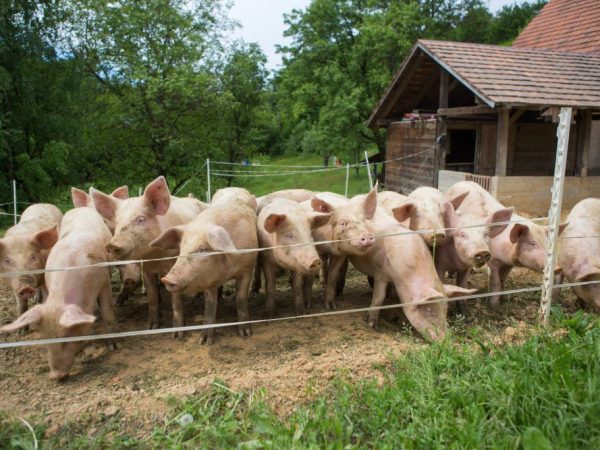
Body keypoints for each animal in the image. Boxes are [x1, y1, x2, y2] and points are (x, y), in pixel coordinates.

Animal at [0, 207, 119, 380]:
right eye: (45, 338)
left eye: (68, 337)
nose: (55, 375)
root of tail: (80, 208)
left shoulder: (104, 281)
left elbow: (108, 311)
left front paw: (114, 347)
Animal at [91, 176, 206, 330]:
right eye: (117, 223)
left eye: (141, 219)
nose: (112, 245)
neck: (155, 257)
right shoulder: (145, 268)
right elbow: (152, 295)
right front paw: (151, 327)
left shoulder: (173, 264)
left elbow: (175, 298)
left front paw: (177, 329)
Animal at [150, 187, 258, 344]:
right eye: (181, 248)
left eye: (203, 249)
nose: (166, 279)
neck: (227, 267)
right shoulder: (207, 277)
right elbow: (210, 303)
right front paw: (204, 341)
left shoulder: (247, 268)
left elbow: (241, 297)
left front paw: (246, 334)